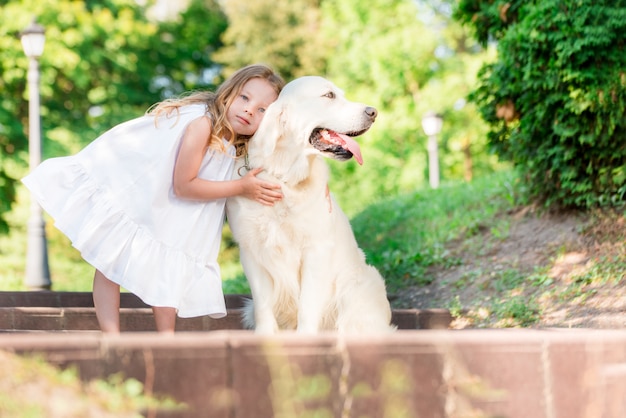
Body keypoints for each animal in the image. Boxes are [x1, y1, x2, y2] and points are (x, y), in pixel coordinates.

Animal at [224, 76, 392, 334]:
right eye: (329, 95)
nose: (373, 112)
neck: (284, 178)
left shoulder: (316, 249)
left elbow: (308, 304)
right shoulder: (250, 250)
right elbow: (263, 304)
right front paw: (265, 336)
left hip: (358, 285)